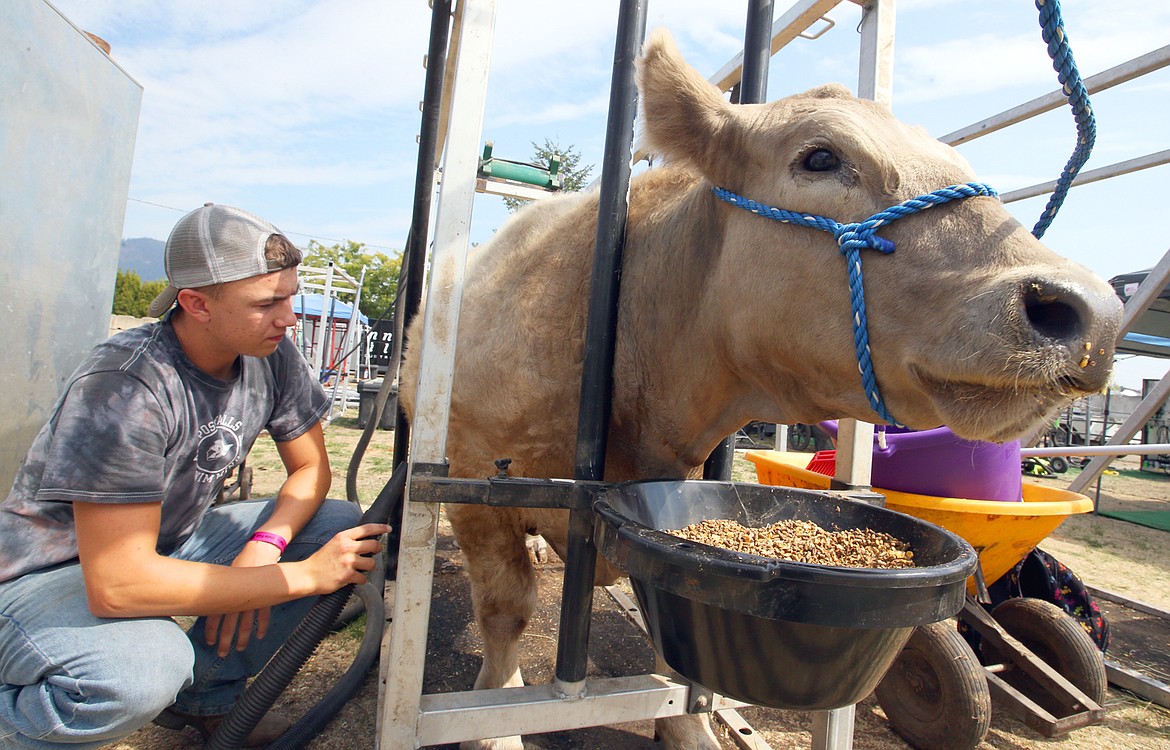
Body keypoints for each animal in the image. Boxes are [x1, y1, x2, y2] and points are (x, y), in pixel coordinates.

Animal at [402, 29, 1123, 748]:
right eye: (821, 156)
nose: (1095, 311)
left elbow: (678, 644)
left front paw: (689, 728)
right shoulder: (469, 474)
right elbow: (507, 612)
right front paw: (494, 722)